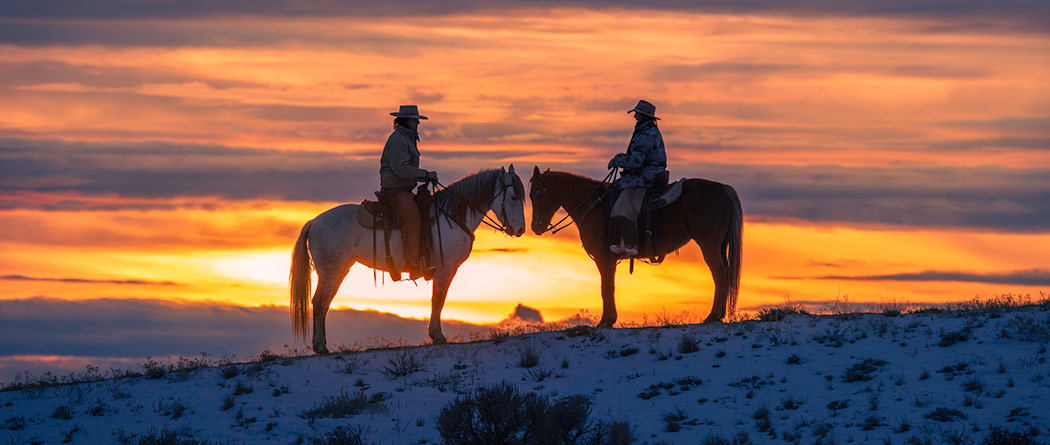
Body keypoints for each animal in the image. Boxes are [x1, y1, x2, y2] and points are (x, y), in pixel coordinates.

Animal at [287, 164, 525, 352]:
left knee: (324, 303)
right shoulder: (445, 269)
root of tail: (314, 222)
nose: (521, 230)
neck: (451, 216)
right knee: (319, 302)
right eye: (514, 197)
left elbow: (438, 301)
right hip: (331, 270)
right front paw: (437, 336)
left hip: (339, 270)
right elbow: (438, 300)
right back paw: (320, 346)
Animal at [529, 166, 743, 327]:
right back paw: (719, 314)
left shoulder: (604, 258)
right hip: (719, 246)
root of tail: (724, 189)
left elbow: (606, 287)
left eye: (535, 193)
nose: (536, 227)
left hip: (709, 245)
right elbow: (608, 286)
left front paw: (606, 321)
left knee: (720, 273)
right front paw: (608, 319)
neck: (594, 204)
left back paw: (713, 315)